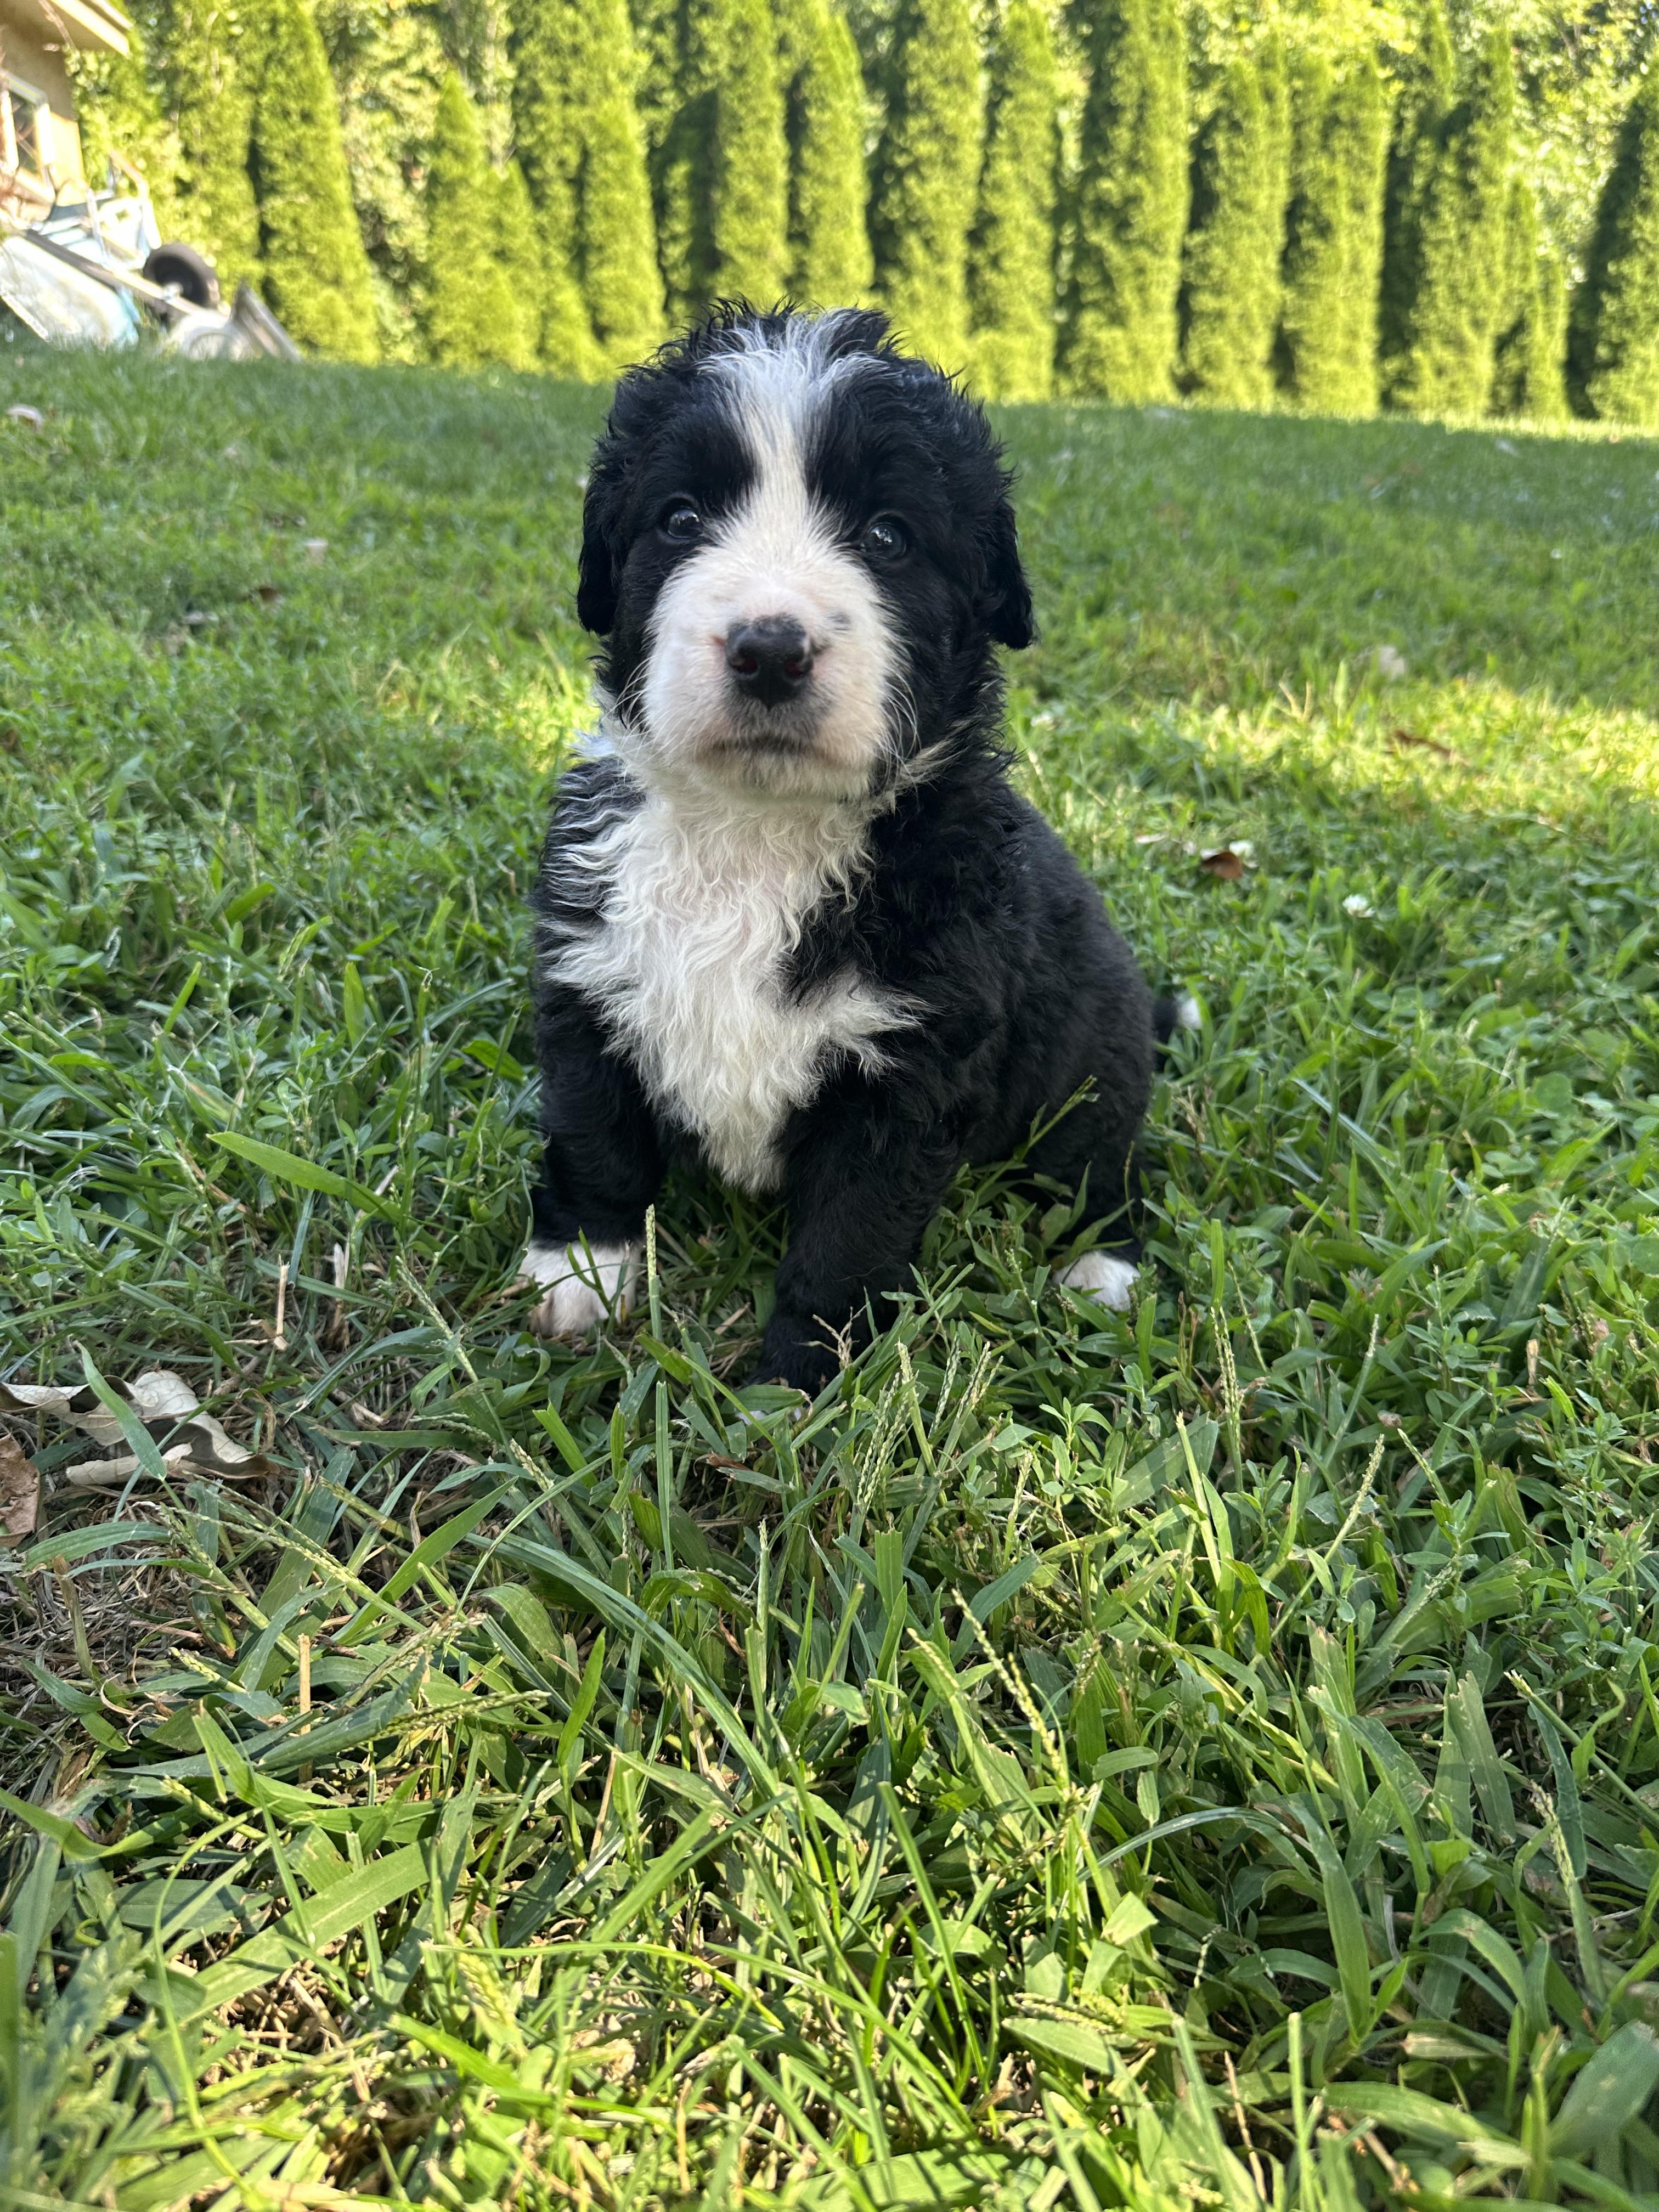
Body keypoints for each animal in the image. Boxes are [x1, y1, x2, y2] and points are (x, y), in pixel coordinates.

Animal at [521, 304, 1185, 1393]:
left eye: (887, 535)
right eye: (679, 520)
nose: (769, 650)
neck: (758, 832)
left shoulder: (907, 1072)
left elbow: (848, 1237)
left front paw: (796, 1380)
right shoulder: (588, 980)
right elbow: (596, 1136)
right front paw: (580, 1267)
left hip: (1096, 1055)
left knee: (1101, 1167)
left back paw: (1101, 1272)